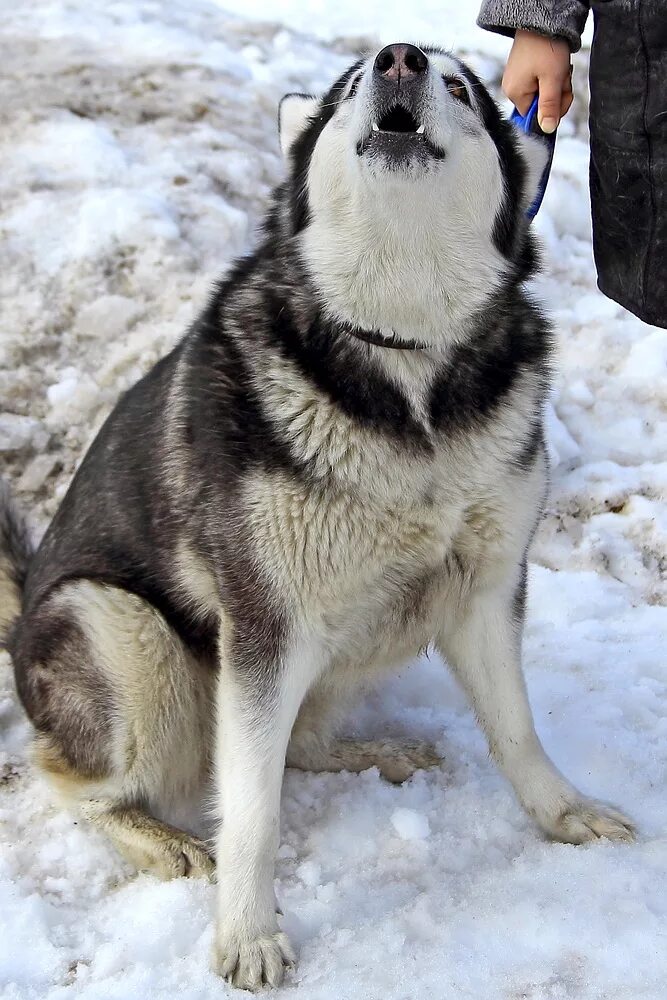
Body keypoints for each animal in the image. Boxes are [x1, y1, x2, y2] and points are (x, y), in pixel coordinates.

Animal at [2, 43, 636, 988]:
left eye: (460, 87)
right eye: (347, 88)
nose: (399, 58)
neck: (403, 352)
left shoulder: (487, 588)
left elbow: (517, 730)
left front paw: (563, 813)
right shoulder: (263, 626)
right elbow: (252, 814)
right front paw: (247, 936)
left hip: (361, 630)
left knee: (294, 745)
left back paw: (371, 753)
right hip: (124, 630)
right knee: (72, 783)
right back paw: (159, 838)